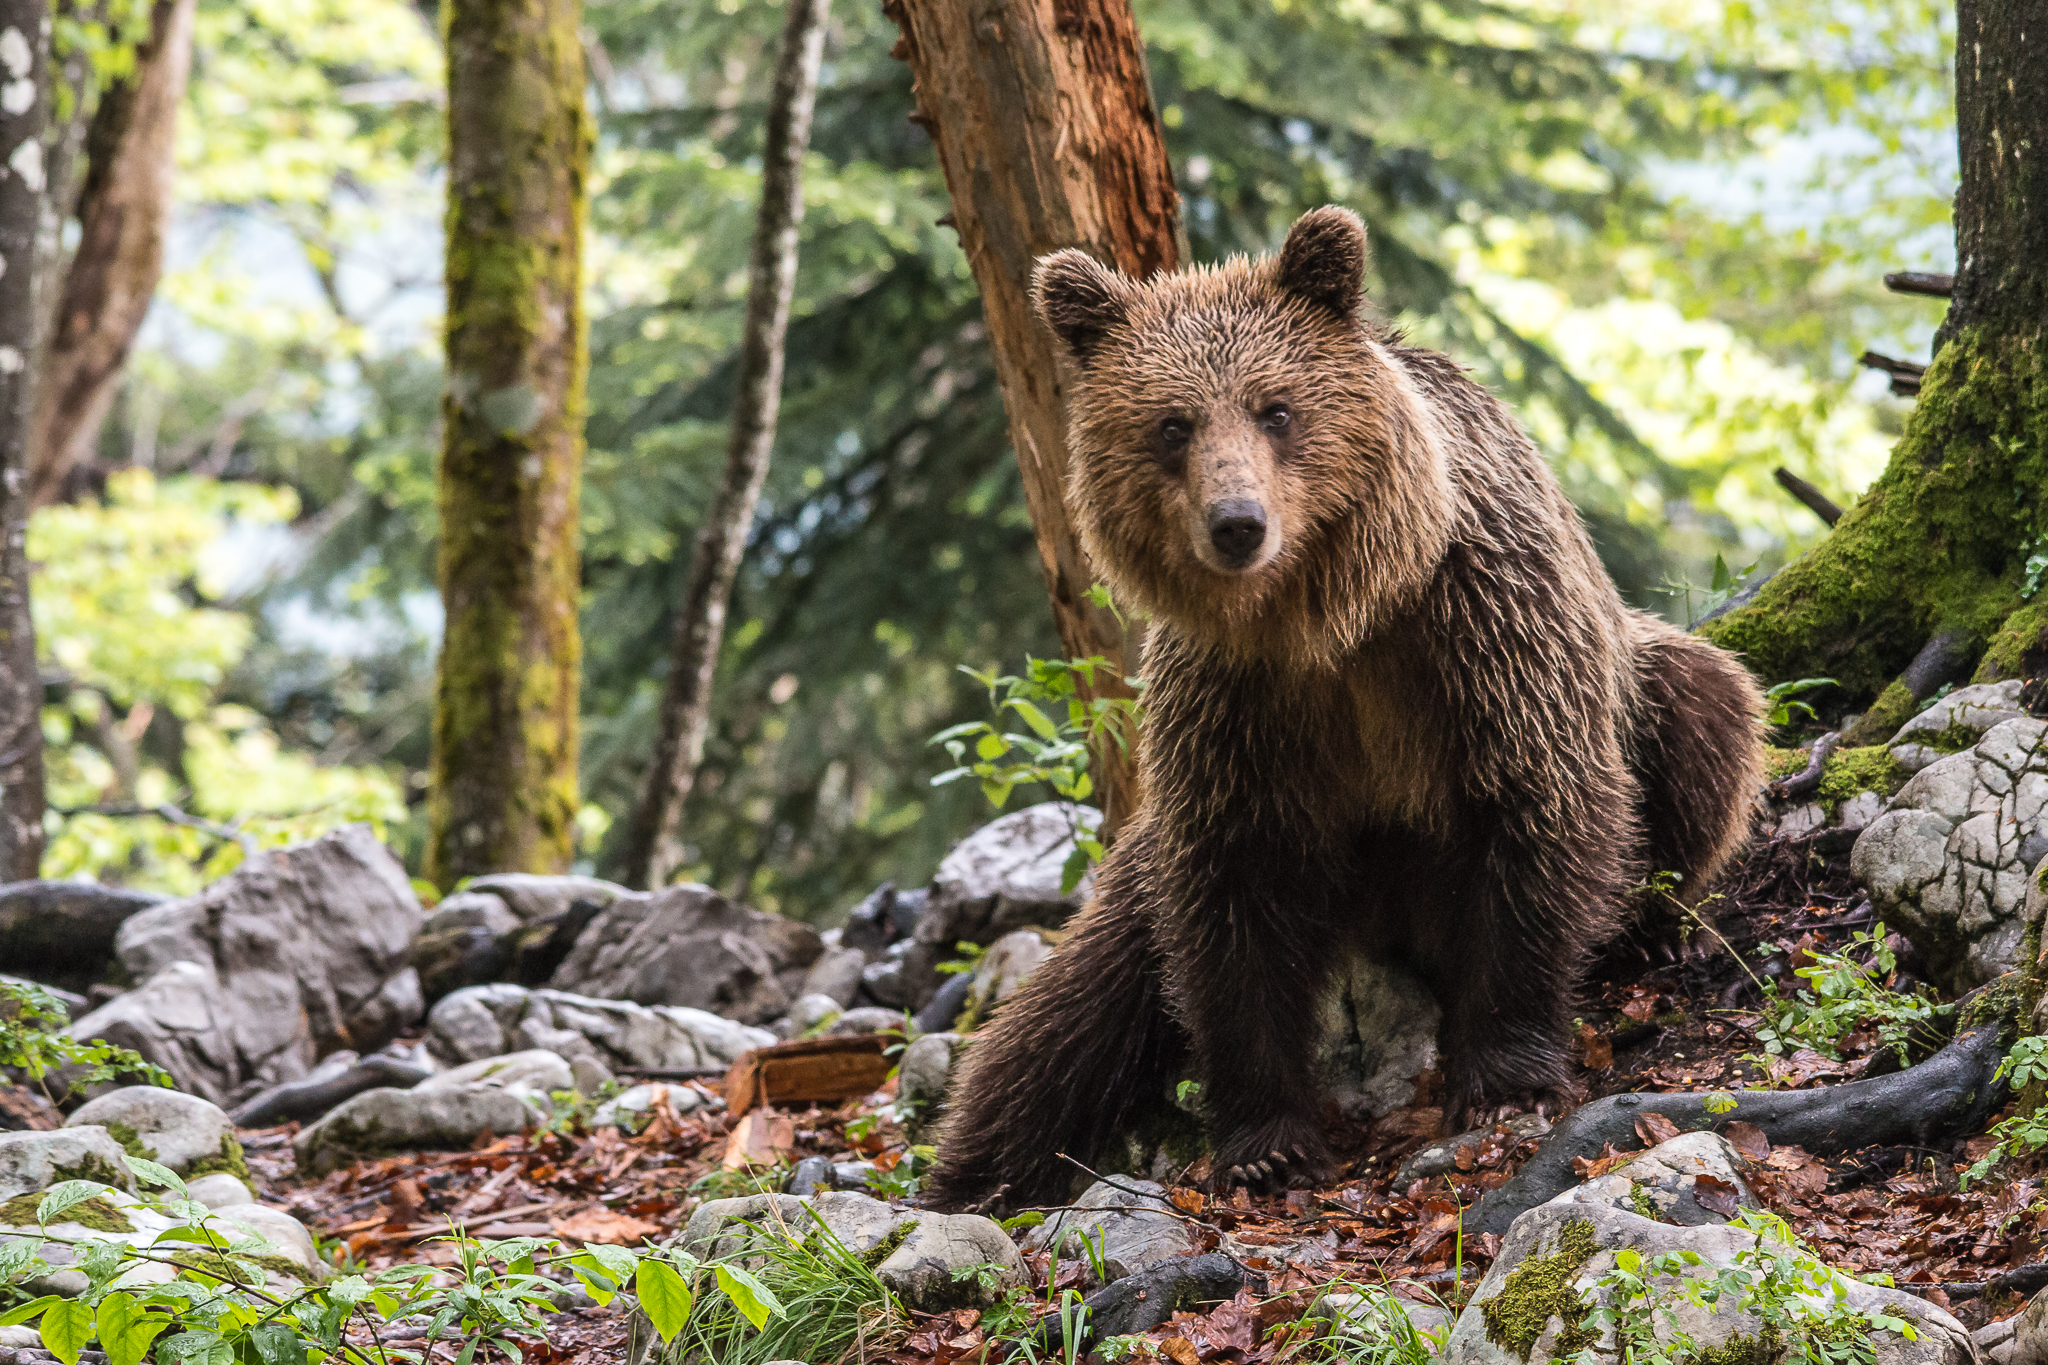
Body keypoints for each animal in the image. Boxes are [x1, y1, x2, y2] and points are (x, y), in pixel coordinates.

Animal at [921, 207, 1764, 1213]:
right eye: (1172, 423)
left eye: (1276, 408)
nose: (1237, 522)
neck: (1326, 618)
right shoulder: (1236, 712)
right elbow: (1229, 909)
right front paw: (1267, 1142)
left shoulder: (1481, 632)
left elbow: (1539, 812)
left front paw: (1505, 1076)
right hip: (1141, 869)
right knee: (1066, 1014)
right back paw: (972, 1173)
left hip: (1639, 685)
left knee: (1704, 716)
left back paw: (1651, 930)